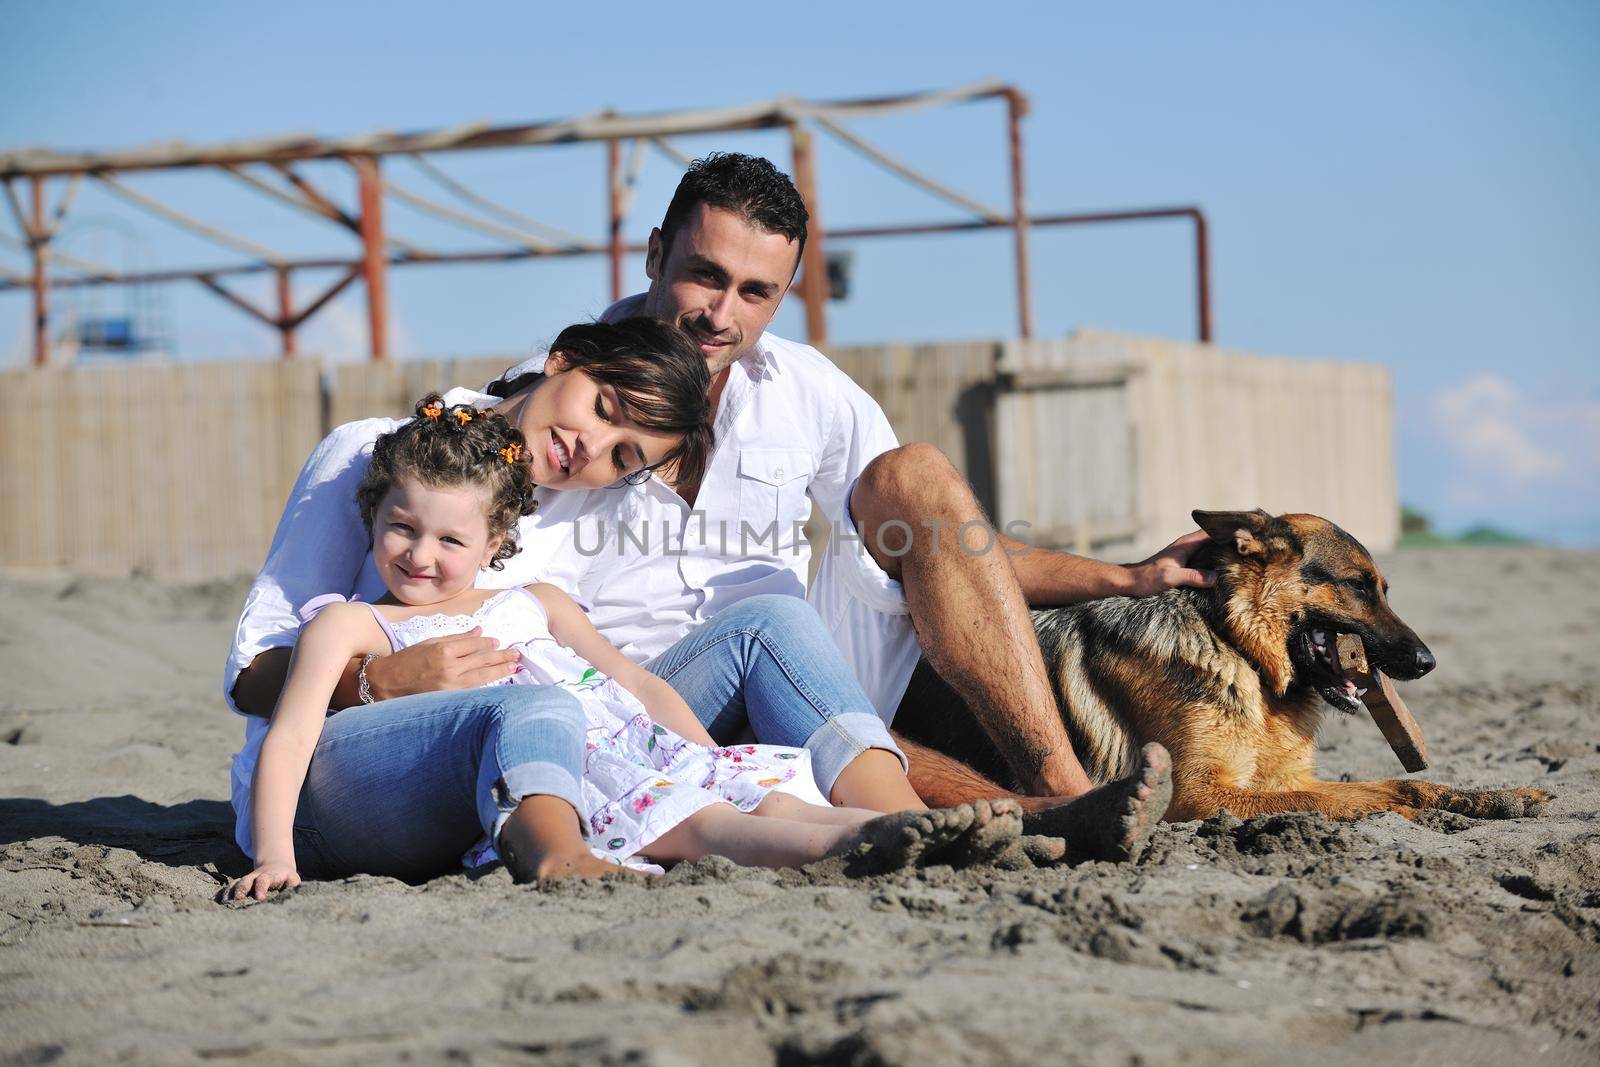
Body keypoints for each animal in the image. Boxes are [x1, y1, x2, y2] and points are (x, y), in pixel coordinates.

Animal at [896, 511, 1542, 825]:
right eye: (1357, 586)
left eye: (1382, 588)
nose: (1428, 663)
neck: (1240, 652)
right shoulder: (1204, 795)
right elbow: (1359, 802)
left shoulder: (1283, 779)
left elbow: (1405, 786)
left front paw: (1497, 797)